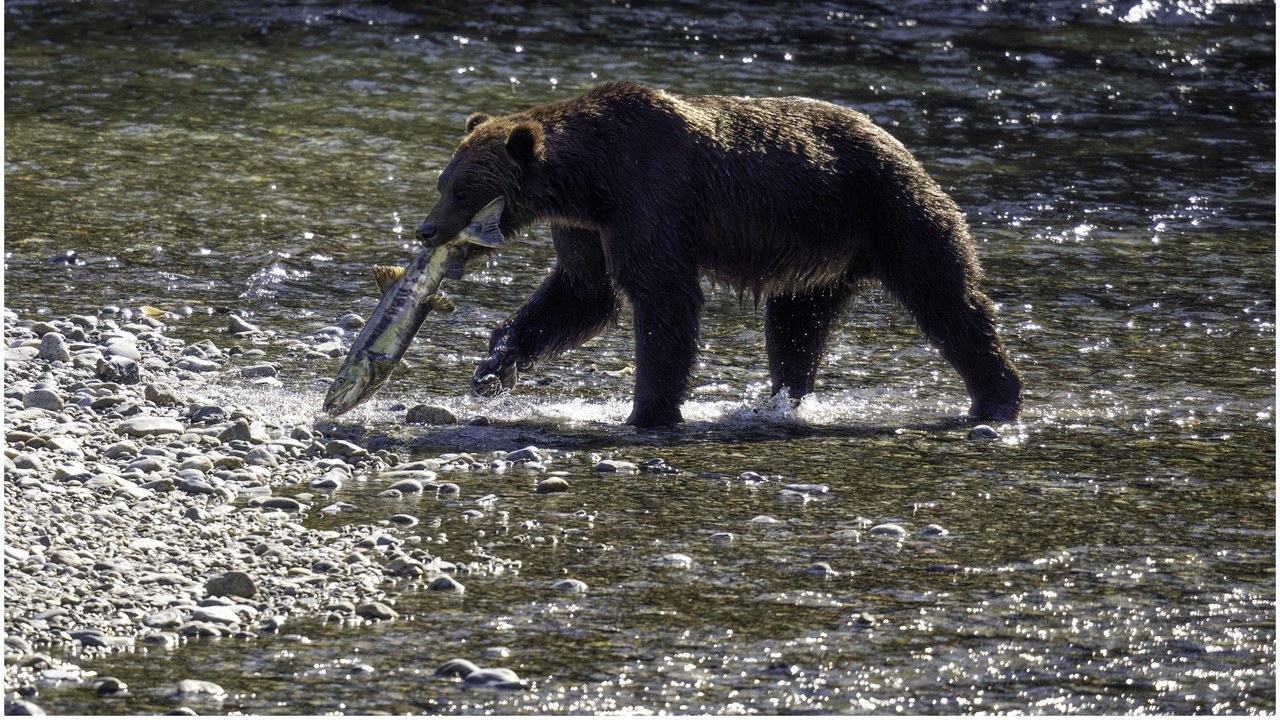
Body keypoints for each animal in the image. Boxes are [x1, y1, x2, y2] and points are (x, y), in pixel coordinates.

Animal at [414, 81, 1022, 428]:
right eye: (444, 183)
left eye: (462, 191)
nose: (426, 230)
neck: (592, 180)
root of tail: (897, 140)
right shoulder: (585, 226)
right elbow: (581, 293)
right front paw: (493, 369)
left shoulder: (653, 197)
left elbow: (662, 296)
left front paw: (648, 410)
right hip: (816, 251)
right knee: (797, 325)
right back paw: (779, 401)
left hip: (889, 208)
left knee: (945, 296)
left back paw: (996, 396)